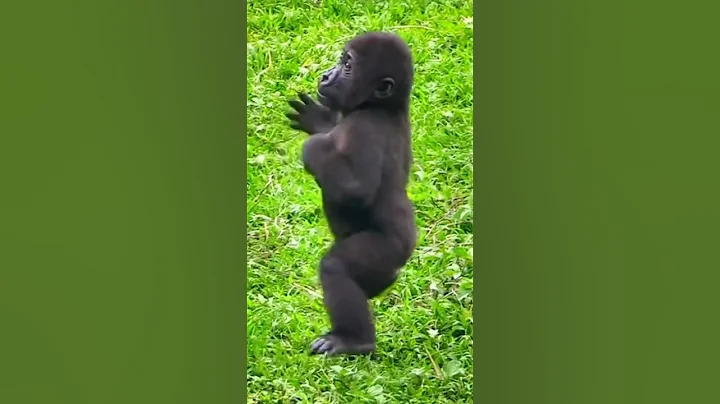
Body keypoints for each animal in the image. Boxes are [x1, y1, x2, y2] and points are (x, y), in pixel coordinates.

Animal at [286, 32, 416, 356]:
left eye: (347, 66)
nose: (326, 75)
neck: (383, 106)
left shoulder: (365, 128)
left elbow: (355, 190)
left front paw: (315, 145)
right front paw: (319, 122)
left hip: (387, 249)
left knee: (336, 267)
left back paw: (355, 340)